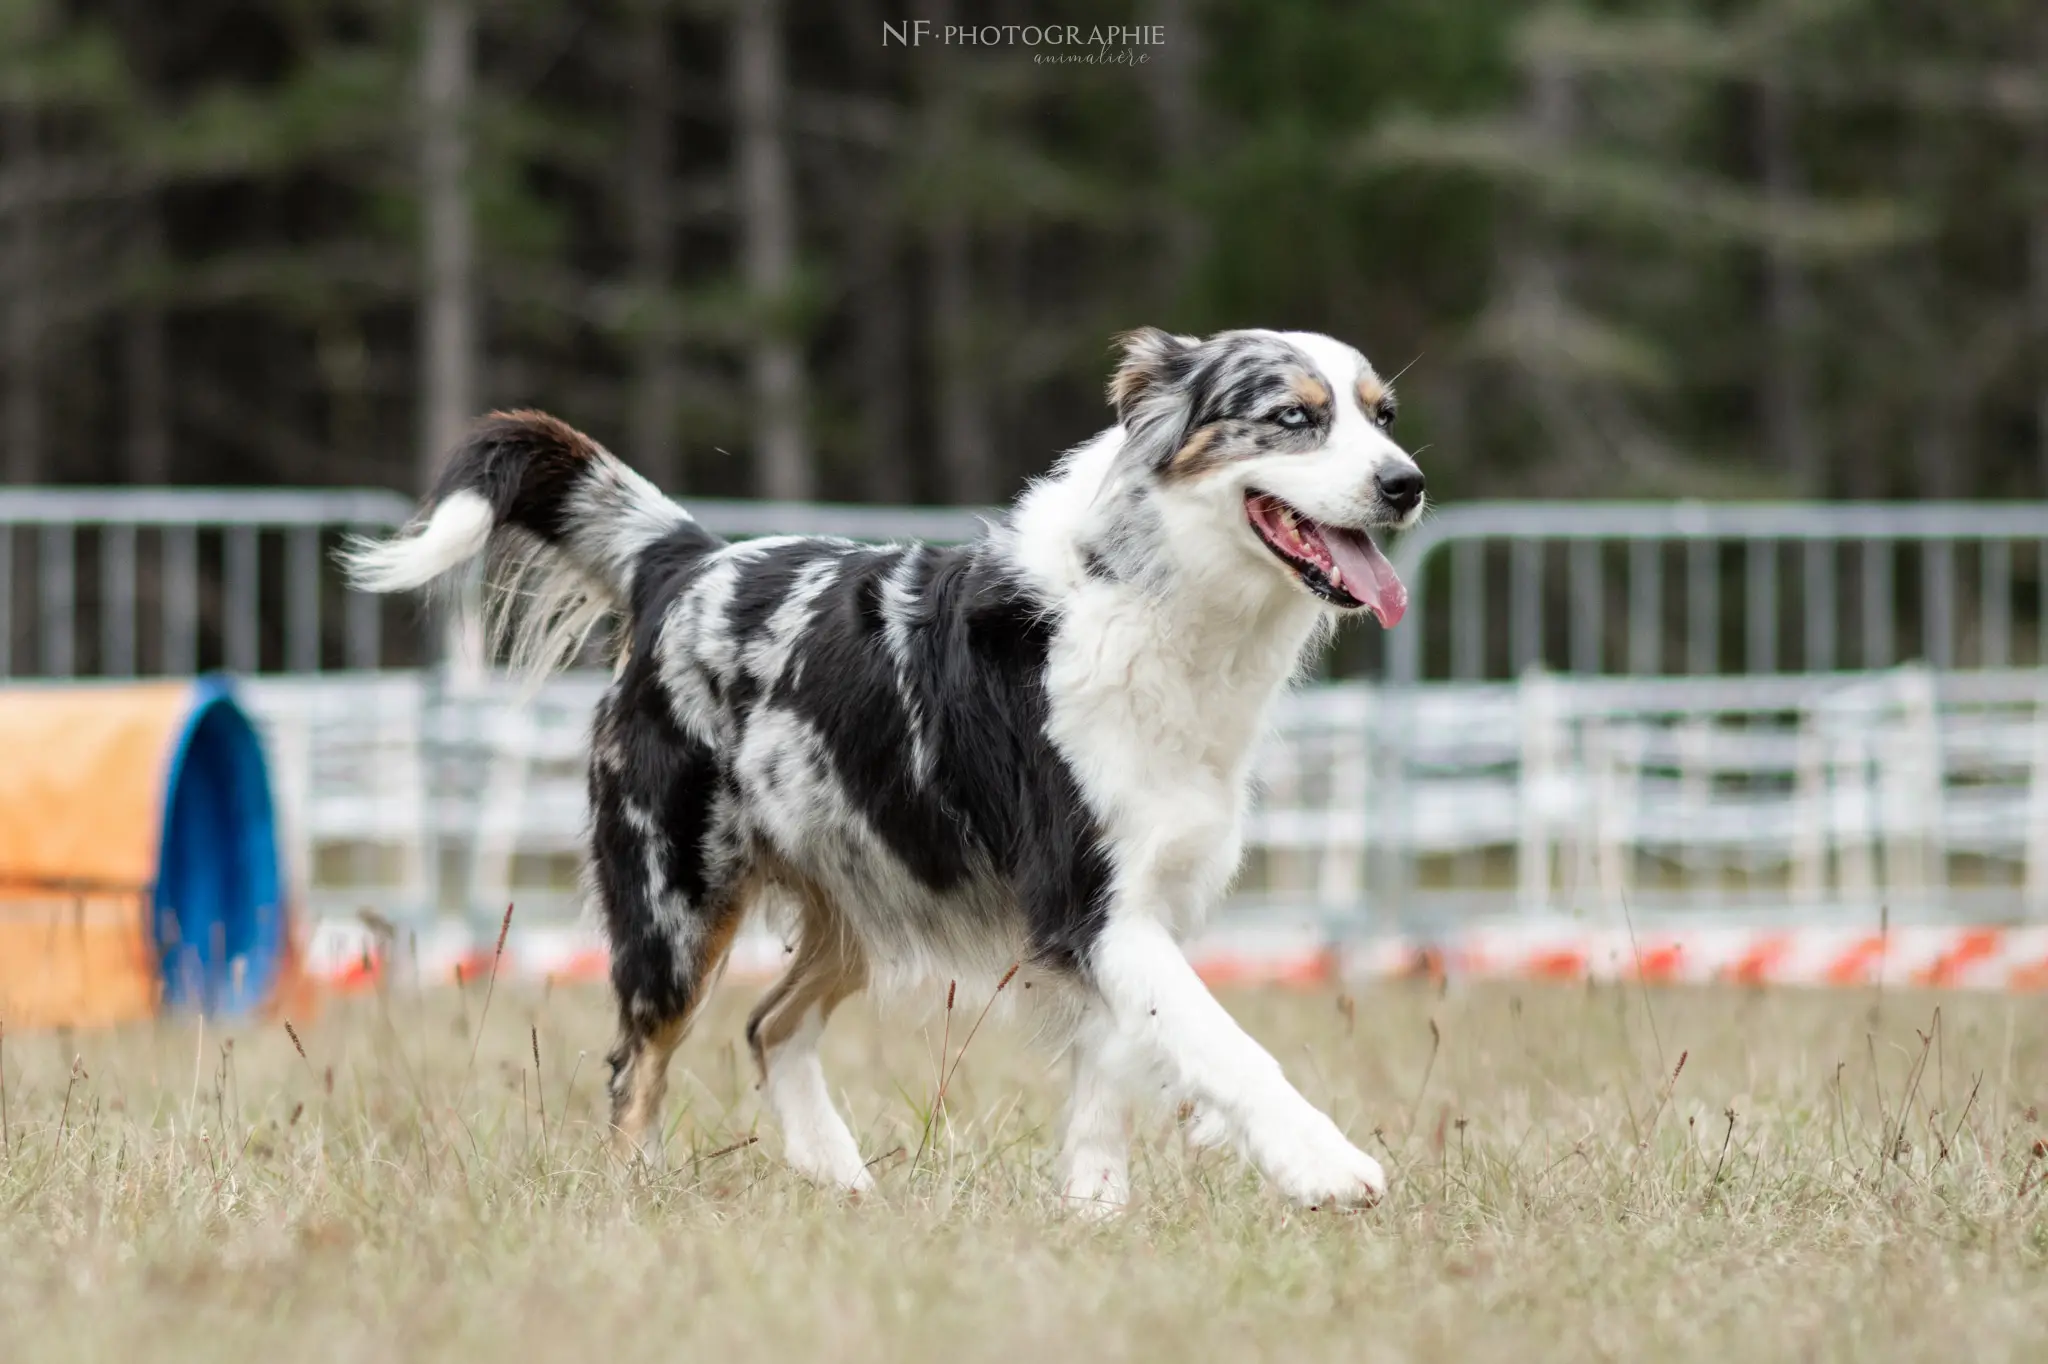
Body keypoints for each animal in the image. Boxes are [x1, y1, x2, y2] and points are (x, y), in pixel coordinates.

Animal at [344, 329, 1425, 1212]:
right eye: (1293, 418)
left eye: (1382, 416)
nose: (1407, 483)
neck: (1153, 597)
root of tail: (686, 563)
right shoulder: (1092, 905)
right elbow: (1223, 1044)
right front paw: (1325, 1165)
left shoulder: (1129, 910)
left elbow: (1110, 1071)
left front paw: (1093, 1207)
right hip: (674, 906)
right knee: (634, 1068)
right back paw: (636, 1195)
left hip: (859, 889)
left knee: (769, 1026)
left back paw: (842, 1179)